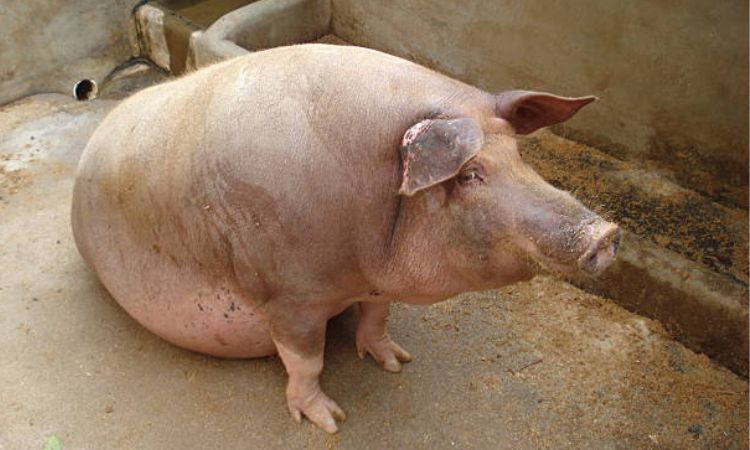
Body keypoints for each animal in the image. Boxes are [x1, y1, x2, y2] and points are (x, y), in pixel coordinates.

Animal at [71, 44, 620, 433]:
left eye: (520, 156)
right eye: (470, 175)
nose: (607, 232)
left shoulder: (374, 283)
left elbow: (377, 320)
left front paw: (398, 363)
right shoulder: (288, 295)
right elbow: (306, 361)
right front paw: (332, 422)